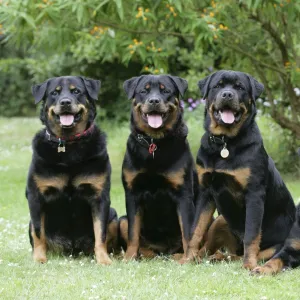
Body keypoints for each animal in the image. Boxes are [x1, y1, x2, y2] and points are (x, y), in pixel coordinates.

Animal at [27, 75, 118, 264]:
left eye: (76, 91)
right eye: (54, 93)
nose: (65, 102)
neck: (69, 145)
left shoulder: (99, 197)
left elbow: (101, 233)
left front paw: (103, 259)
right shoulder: (35, 196)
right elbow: (38, 232)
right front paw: (39, 258)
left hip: (113, 215)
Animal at [118, 74, 198, 258]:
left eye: (165, 91)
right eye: (144, 91)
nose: (154, 100)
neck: (155, 142)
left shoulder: (183, 194)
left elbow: (187, 232)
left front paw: (187, 259)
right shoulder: (132, 194)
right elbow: (133, 233)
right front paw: (129, 258)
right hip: (122, 220)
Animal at [180, 69, 296, 270]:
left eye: (240, 87)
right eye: (218, 85)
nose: (227, 94)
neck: (225, 142)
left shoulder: (254, 195)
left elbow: (251, 234)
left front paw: (249, 264)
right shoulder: (205, 192)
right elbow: (196, 230)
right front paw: (188, 259)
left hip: (275, 245)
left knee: (242, 254)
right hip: (220, 220)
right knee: (211, 247)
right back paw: (205, 257)